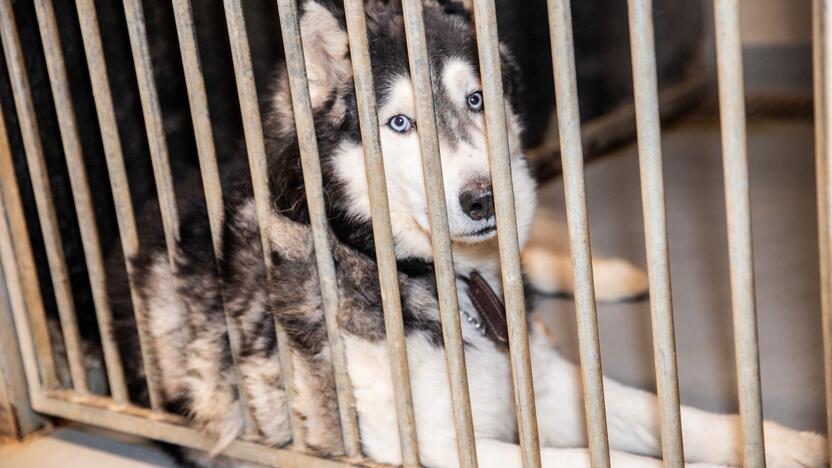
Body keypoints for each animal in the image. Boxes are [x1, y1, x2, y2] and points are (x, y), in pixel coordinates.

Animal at [112, 0, 832, 468]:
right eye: (400, 123)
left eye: (477, 100)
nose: (482, 197)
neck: (439, 278)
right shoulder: (432, 442)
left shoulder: (543, 381)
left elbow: (671, 416)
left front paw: (785, 443)